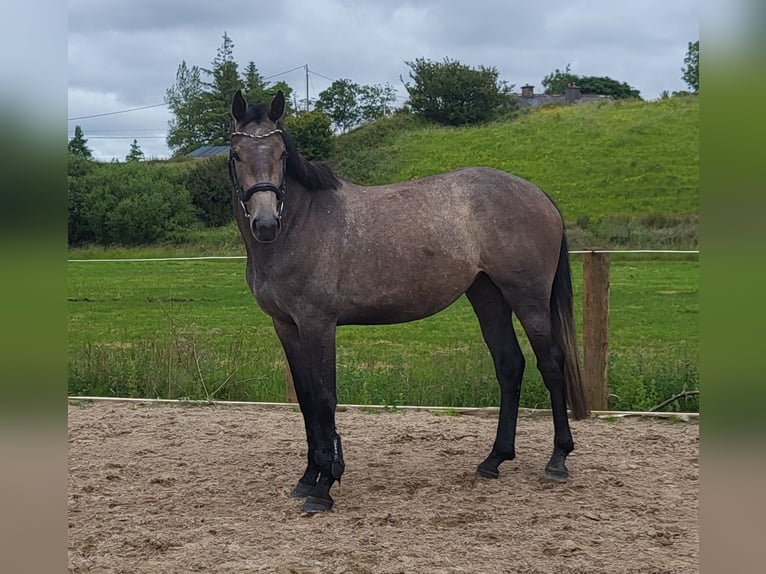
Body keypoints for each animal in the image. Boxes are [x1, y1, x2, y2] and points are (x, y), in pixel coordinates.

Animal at [228, 91, 588, 516]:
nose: (266, 223)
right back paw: (494, 460)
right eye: (236, 153)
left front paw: (325, 486)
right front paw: (307, 478)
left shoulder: (318, 325)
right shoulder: (286, 326)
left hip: (527, 298)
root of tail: (538, 193)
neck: (301, 224)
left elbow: (325, 398)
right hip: (488, 296)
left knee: (551, 364)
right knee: (510, 366)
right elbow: (305, 401)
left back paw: (558, 460)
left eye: (282, 152)